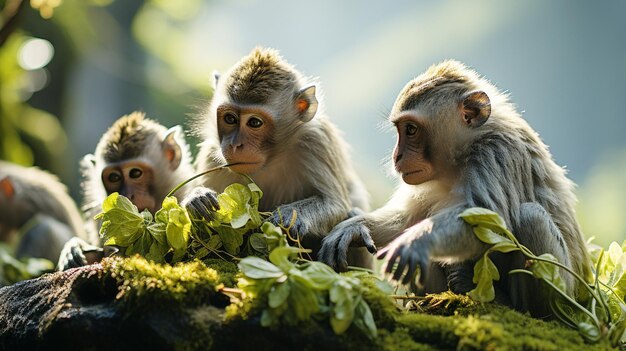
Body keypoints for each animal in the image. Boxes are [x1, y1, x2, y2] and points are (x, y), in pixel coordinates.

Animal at [184, 47, 370, 270]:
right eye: (230, 118)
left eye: (255, 122)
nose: (234, 145)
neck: (271, 159)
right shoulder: (213, 154)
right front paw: (197, 198)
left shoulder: (316, 142)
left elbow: (336, 204)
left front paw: (289, 215)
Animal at [320, 59, 592, 316]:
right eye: (400, 129)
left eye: (411, 130)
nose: (397, 156)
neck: (460, 159)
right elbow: (408, 218)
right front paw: (354, 227)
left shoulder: (497, 152)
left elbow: (486, 219)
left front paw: (416, 241)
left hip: (565, 293)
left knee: (531, 216)